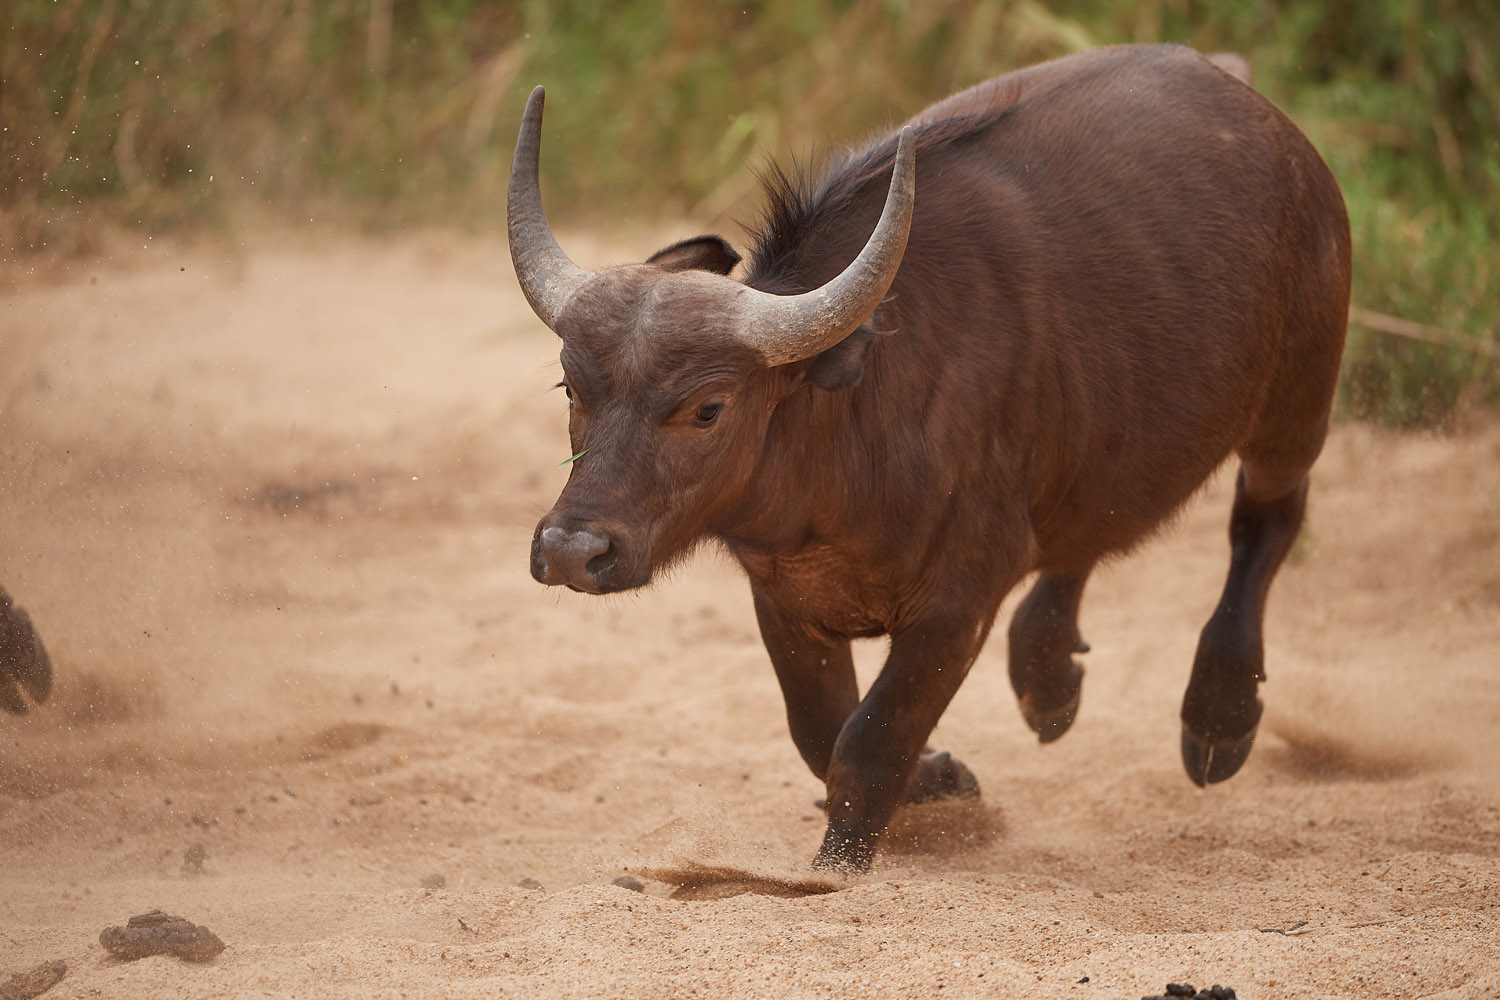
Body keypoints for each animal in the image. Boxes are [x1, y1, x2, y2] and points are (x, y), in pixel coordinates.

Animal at [510, 43, 1356, 869]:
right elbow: (819, 733)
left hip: (1296, 406)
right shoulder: (783, 597)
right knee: (1085, 532)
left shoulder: (958, 602)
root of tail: (1274, 129)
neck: (848, 437)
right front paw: (944, 781)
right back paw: (1048, 677)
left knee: (1266, 521)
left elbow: (870, 745)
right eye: (571, 387)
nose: (573, 549)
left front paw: (840, 868)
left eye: (708, 408)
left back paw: (1219, 715)